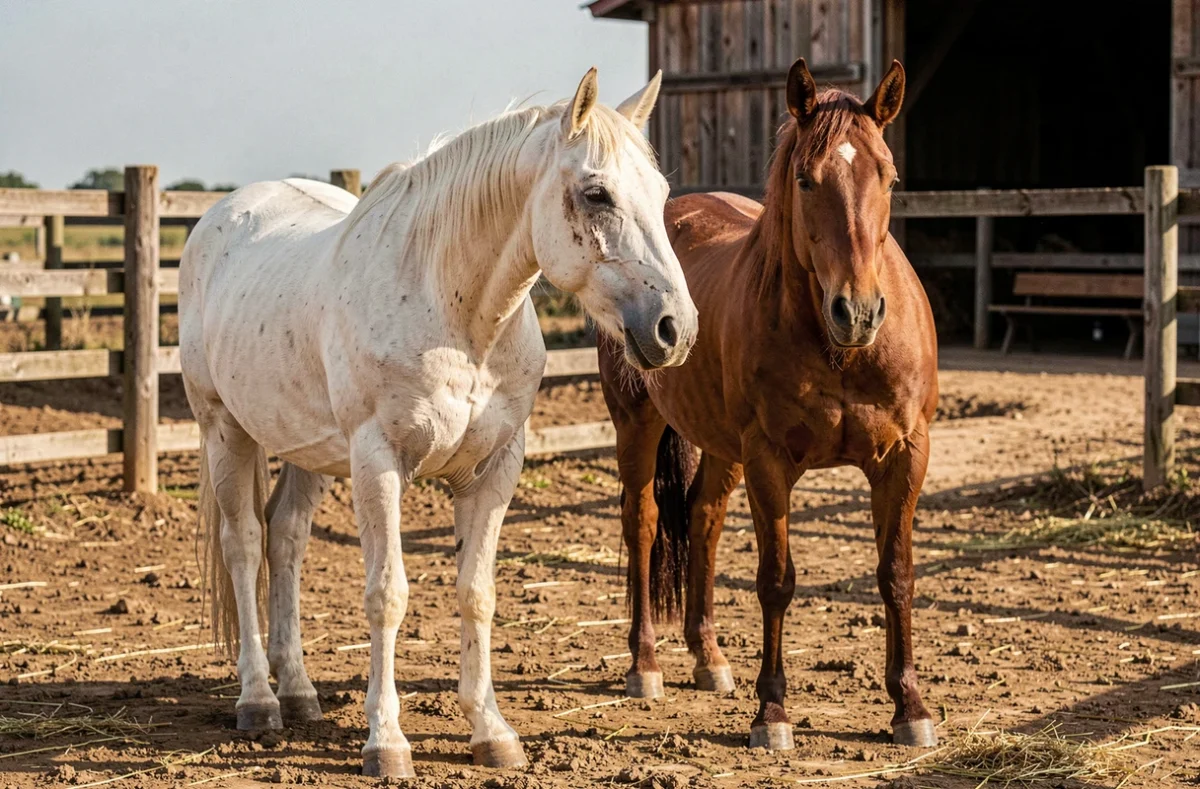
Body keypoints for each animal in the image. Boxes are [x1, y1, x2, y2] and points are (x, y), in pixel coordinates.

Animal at [179, 68, 698, 778]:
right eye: (597, 193)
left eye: (663, 192)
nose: (676, 329)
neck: (457, 314)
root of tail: (218, 217)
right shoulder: (379, 462)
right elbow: (387, 595)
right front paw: (387, 743)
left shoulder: (494, 468)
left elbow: (477, 593)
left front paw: (491, 732)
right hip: (224, 431)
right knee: (244, 545)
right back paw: (258, 701)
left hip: (306, 449)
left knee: (285, 540)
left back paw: (302, 694)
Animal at [597, 58, 939, 750]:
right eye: (805, 180)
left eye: (888, 175)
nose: (858, 312)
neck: (840, 351)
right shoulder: (769, 460)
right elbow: (776, 581)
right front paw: (772, 713)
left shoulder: (904, 456)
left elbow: (896, 575)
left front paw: (910, 708)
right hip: (638, 423)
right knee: (642, 521)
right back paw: (644, 666)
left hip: (720, 447)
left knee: (702, 518)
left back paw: (709, 659)